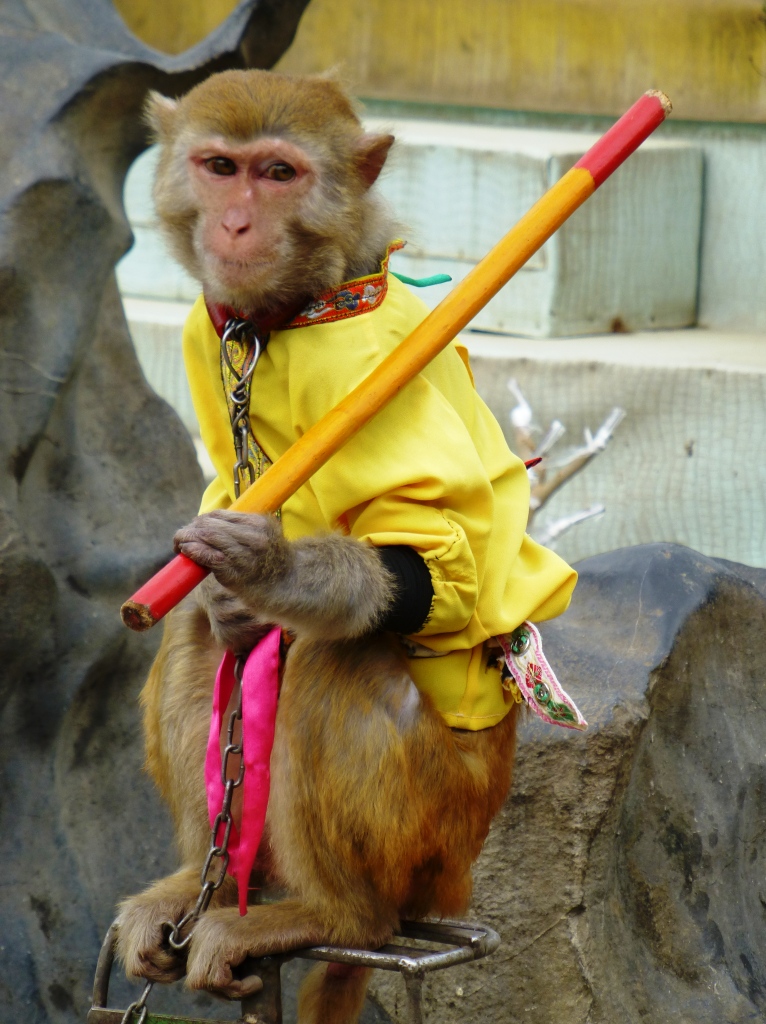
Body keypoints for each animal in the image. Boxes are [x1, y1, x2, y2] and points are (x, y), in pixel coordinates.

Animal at [115, 69, 577, 1022]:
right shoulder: (211, 335)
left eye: (279, 173)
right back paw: (198, 884)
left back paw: (338, 914)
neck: (297, 314)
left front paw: (270, 567)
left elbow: (435, 553)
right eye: (221, 168)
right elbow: (213, 575)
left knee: (336, 652)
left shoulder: (374, 368)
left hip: (436, 829)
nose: (236, 224)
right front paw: (217, 588)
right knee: (202, 642)